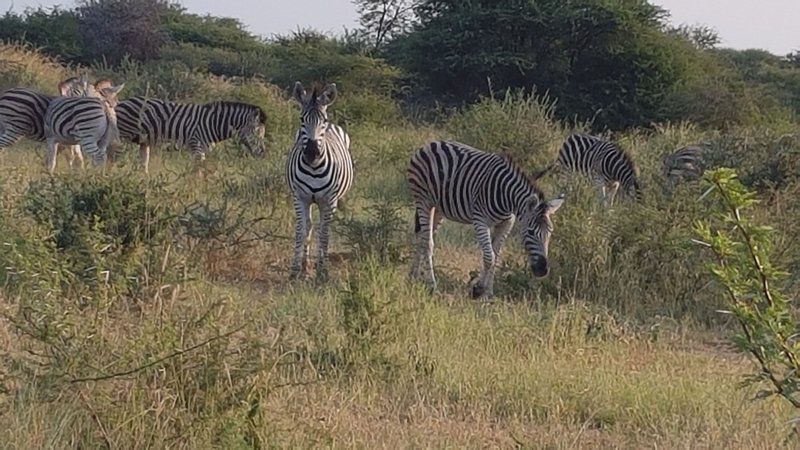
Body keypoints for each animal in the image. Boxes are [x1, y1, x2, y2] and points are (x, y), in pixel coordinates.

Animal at [111, 95, 266, 172]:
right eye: (257, 133)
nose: (262, 153)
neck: (212, 123)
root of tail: (121, 102)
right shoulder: (196, 146)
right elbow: (196, 172)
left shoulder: (203, 149)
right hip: (122, 137)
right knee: (112, 158)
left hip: (144, 141)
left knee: (143, 165)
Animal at [284, 79, 354, 280]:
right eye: (302, 119)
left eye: (323, 121)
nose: (312, 153)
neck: (314, 168)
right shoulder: (300, 197)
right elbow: (301, 231)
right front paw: (295, 270)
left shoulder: (329, 200)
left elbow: (324, 233)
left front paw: (323, 271)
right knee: (309, 226)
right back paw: (305, 265)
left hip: (330, 201)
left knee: (324, 227)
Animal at [410, 139, 564, 298]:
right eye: (531, 232)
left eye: (550, 233)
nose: (543, 270)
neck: (507, 198)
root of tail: (431, 143)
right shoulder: (480, 221)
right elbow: (489, 257)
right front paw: (478, 290)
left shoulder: (506, 223)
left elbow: (496, 257)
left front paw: (488, 293)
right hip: (423, 201)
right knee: (427, 242)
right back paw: (432, 285)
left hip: (439, 208)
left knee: (423, 238)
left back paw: (413, 276)